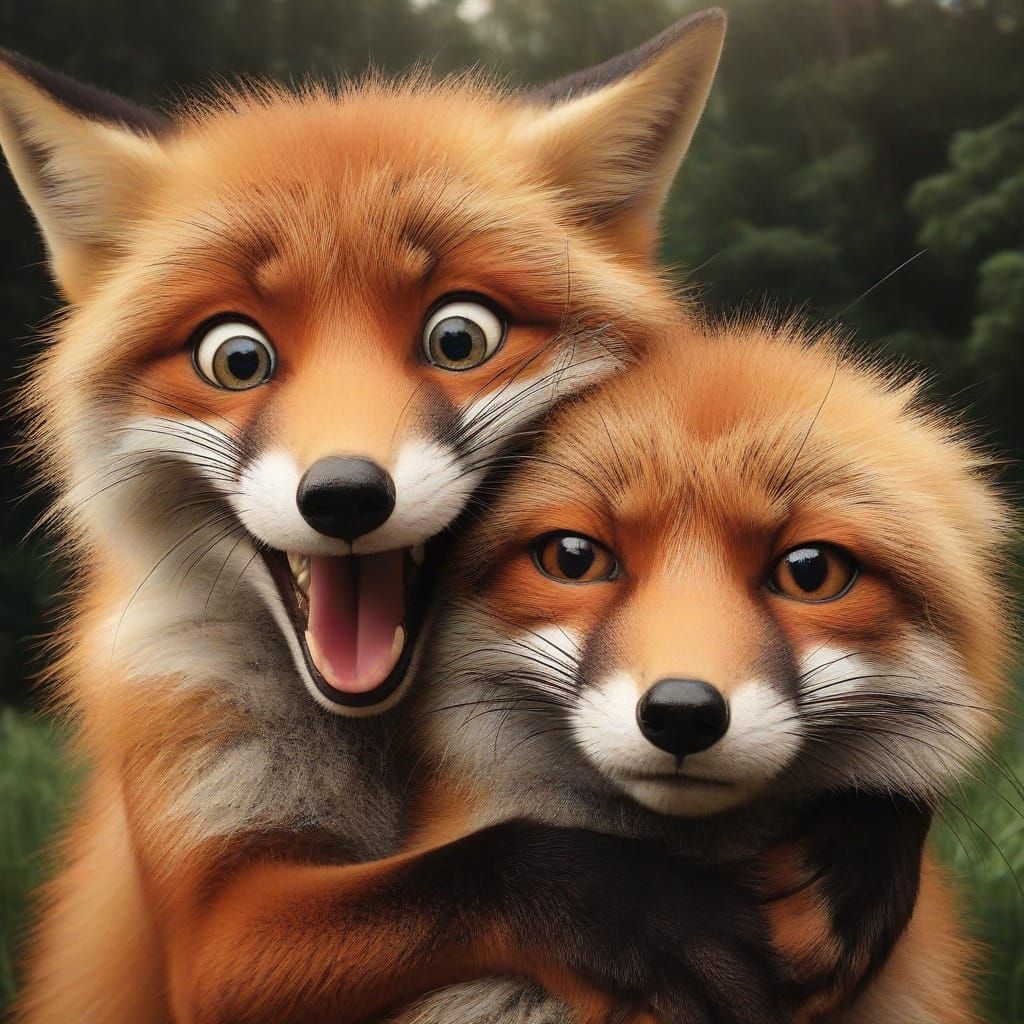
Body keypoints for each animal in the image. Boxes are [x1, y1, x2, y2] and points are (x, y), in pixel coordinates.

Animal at [0, 13, 818, 1024]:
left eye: (459, 337)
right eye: (236, 357)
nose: (346, 495)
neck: (385, 743)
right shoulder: (214, 931)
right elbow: (477, 867)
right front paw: (651, 911)